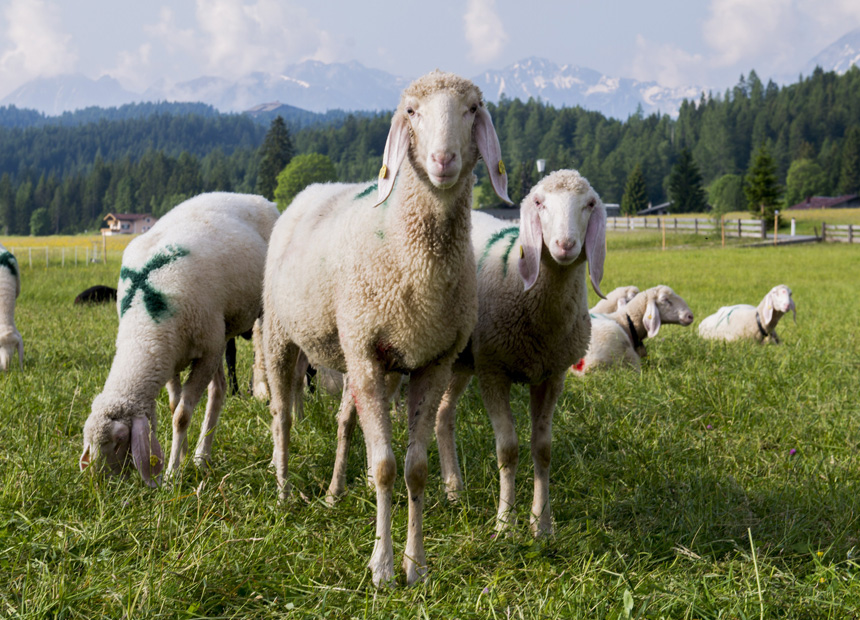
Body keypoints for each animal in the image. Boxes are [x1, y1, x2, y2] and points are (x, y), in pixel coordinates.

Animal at [79, 193, 279, 486]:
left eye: (118, 440)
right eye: (89, 440)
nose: (100, 484)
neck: (143, 326)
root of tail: (256, 198)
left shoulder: (204, 352)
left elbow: (182, 416)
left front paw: (173, 471)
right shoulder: (169, 356)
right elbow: (175, 405)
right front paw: (183, 457)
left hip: (249, 321)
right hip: (218, 334)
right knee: (218, 390)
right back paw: (201, 457)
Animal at [261, 70, 510, 586]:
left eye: (472, 109)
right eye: (411, 111)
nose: (443, 160)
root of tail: (311, 189)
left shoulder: (431, 362)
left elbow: (414, 468)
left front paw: (416, 566)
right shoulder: (370, 359)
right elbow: (383, 467)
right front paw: (382, 566)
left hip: (353, 352)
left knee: (342, 423)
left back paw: (333, 493)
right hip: (281, 333)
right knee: (282, 416)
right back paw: (283, 489)